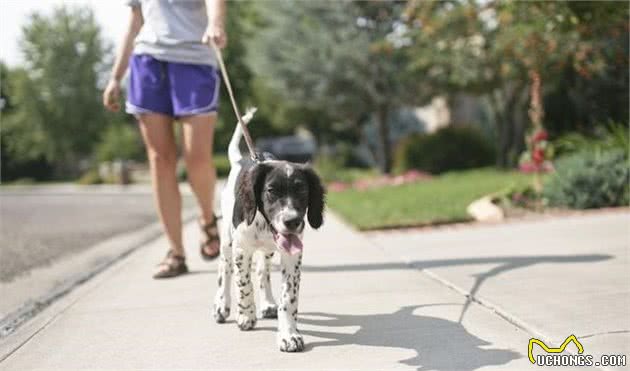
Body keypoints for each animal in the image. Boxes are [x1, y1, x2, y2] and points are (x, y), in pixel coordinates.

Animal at [215, 109, 328, 354]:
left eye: (302, 190)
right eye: (271, 191)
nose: (292, 221)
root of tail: (240, 160)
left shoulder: (292, 255)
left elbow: (289, 298)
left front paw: (289, 334)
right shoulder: (241, 250)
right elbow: (243, 283)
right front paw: (246, 315)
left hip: (268, 250)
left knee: (262, 271)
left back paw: (266, 304)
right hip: (227, 242)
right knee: (225, 270)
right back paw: (221, 305)